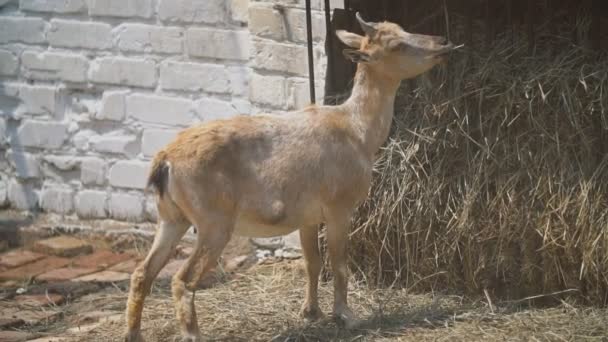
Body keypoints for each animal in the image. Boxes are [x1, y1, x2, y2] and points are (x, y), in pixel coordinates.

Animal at [123, 12, 456, 340]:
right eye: (397, 45)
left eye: (403, 29)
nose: (442, 43)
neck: (357, 130)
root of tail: (165, 161)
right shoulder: (339, 208)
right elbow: (339, 264)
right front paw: (347, 317)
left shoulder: (307, 217)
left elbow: (312, 262)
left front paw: (310, 312)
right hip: (212, 223)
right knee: (182, 279)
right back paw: (192, 333)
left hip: (172, 218)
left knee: (142, 273)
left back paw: (133, 333)